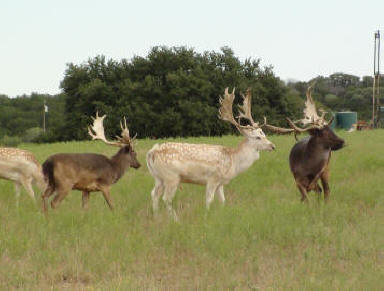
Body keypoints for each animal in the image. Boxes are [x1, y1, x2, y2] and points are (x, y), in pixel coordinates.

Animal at [147, 88, 276, 221]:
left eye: (264, 134)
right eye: (257, 137)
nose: (272, 146)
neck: (233, 161)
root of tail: (152, 152)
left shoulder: (220, 183)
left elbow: (223, 201)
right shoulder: (212, 178)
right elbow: (209, 200)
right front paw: (206, 217)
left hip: (158, 177)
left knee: (154, 194)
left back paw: (156, 217)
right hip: (171, 177)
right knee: (166, 199)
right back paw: (176, 220)